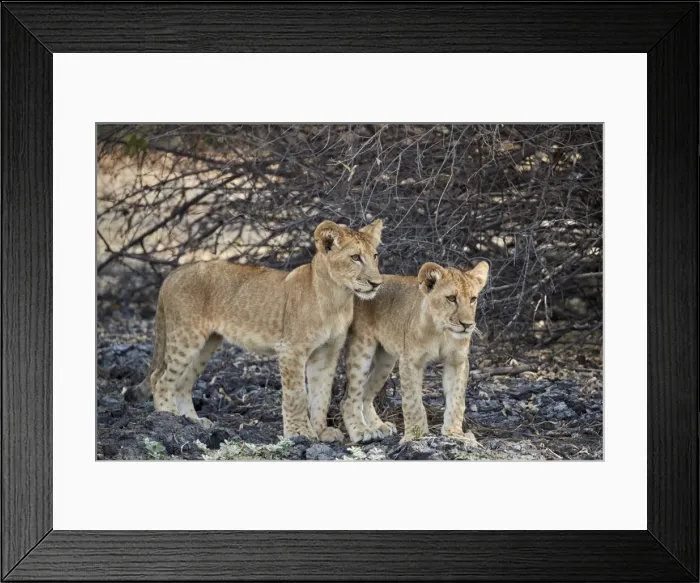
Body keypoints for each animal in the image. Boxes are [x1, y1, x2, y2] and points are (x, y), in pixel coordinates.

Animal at [127, 219, 383, 442]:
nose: (377, 283)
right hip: (186, 337)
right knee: (160, 378)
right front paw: (300, 433)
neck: (337, 297)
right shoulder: (291, 350)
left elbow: (321, 394)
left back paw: (191, 422)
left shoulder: (327, 354)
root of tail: (174, 273)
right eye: (355, 257)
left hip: (206, 343)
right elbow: (297, 395)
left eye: (374, 256)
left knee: (182, 383)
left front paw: (321, 432)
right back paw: (167, 418)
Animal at [340, 260, 488, 444]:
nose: (467, 325)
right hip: (362, 349)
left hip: (385, 362)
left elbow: (456, 399)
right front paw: (414, 435)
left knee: (366, 394)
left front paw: (455, 433)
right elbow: (413, 401)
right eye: (451, 298)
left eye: (473, 299)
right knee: (349, 398)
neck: (441, 331)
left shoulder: (457, 361)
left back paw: (378, 426)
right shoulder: (410, 361)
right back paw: (360, 431)